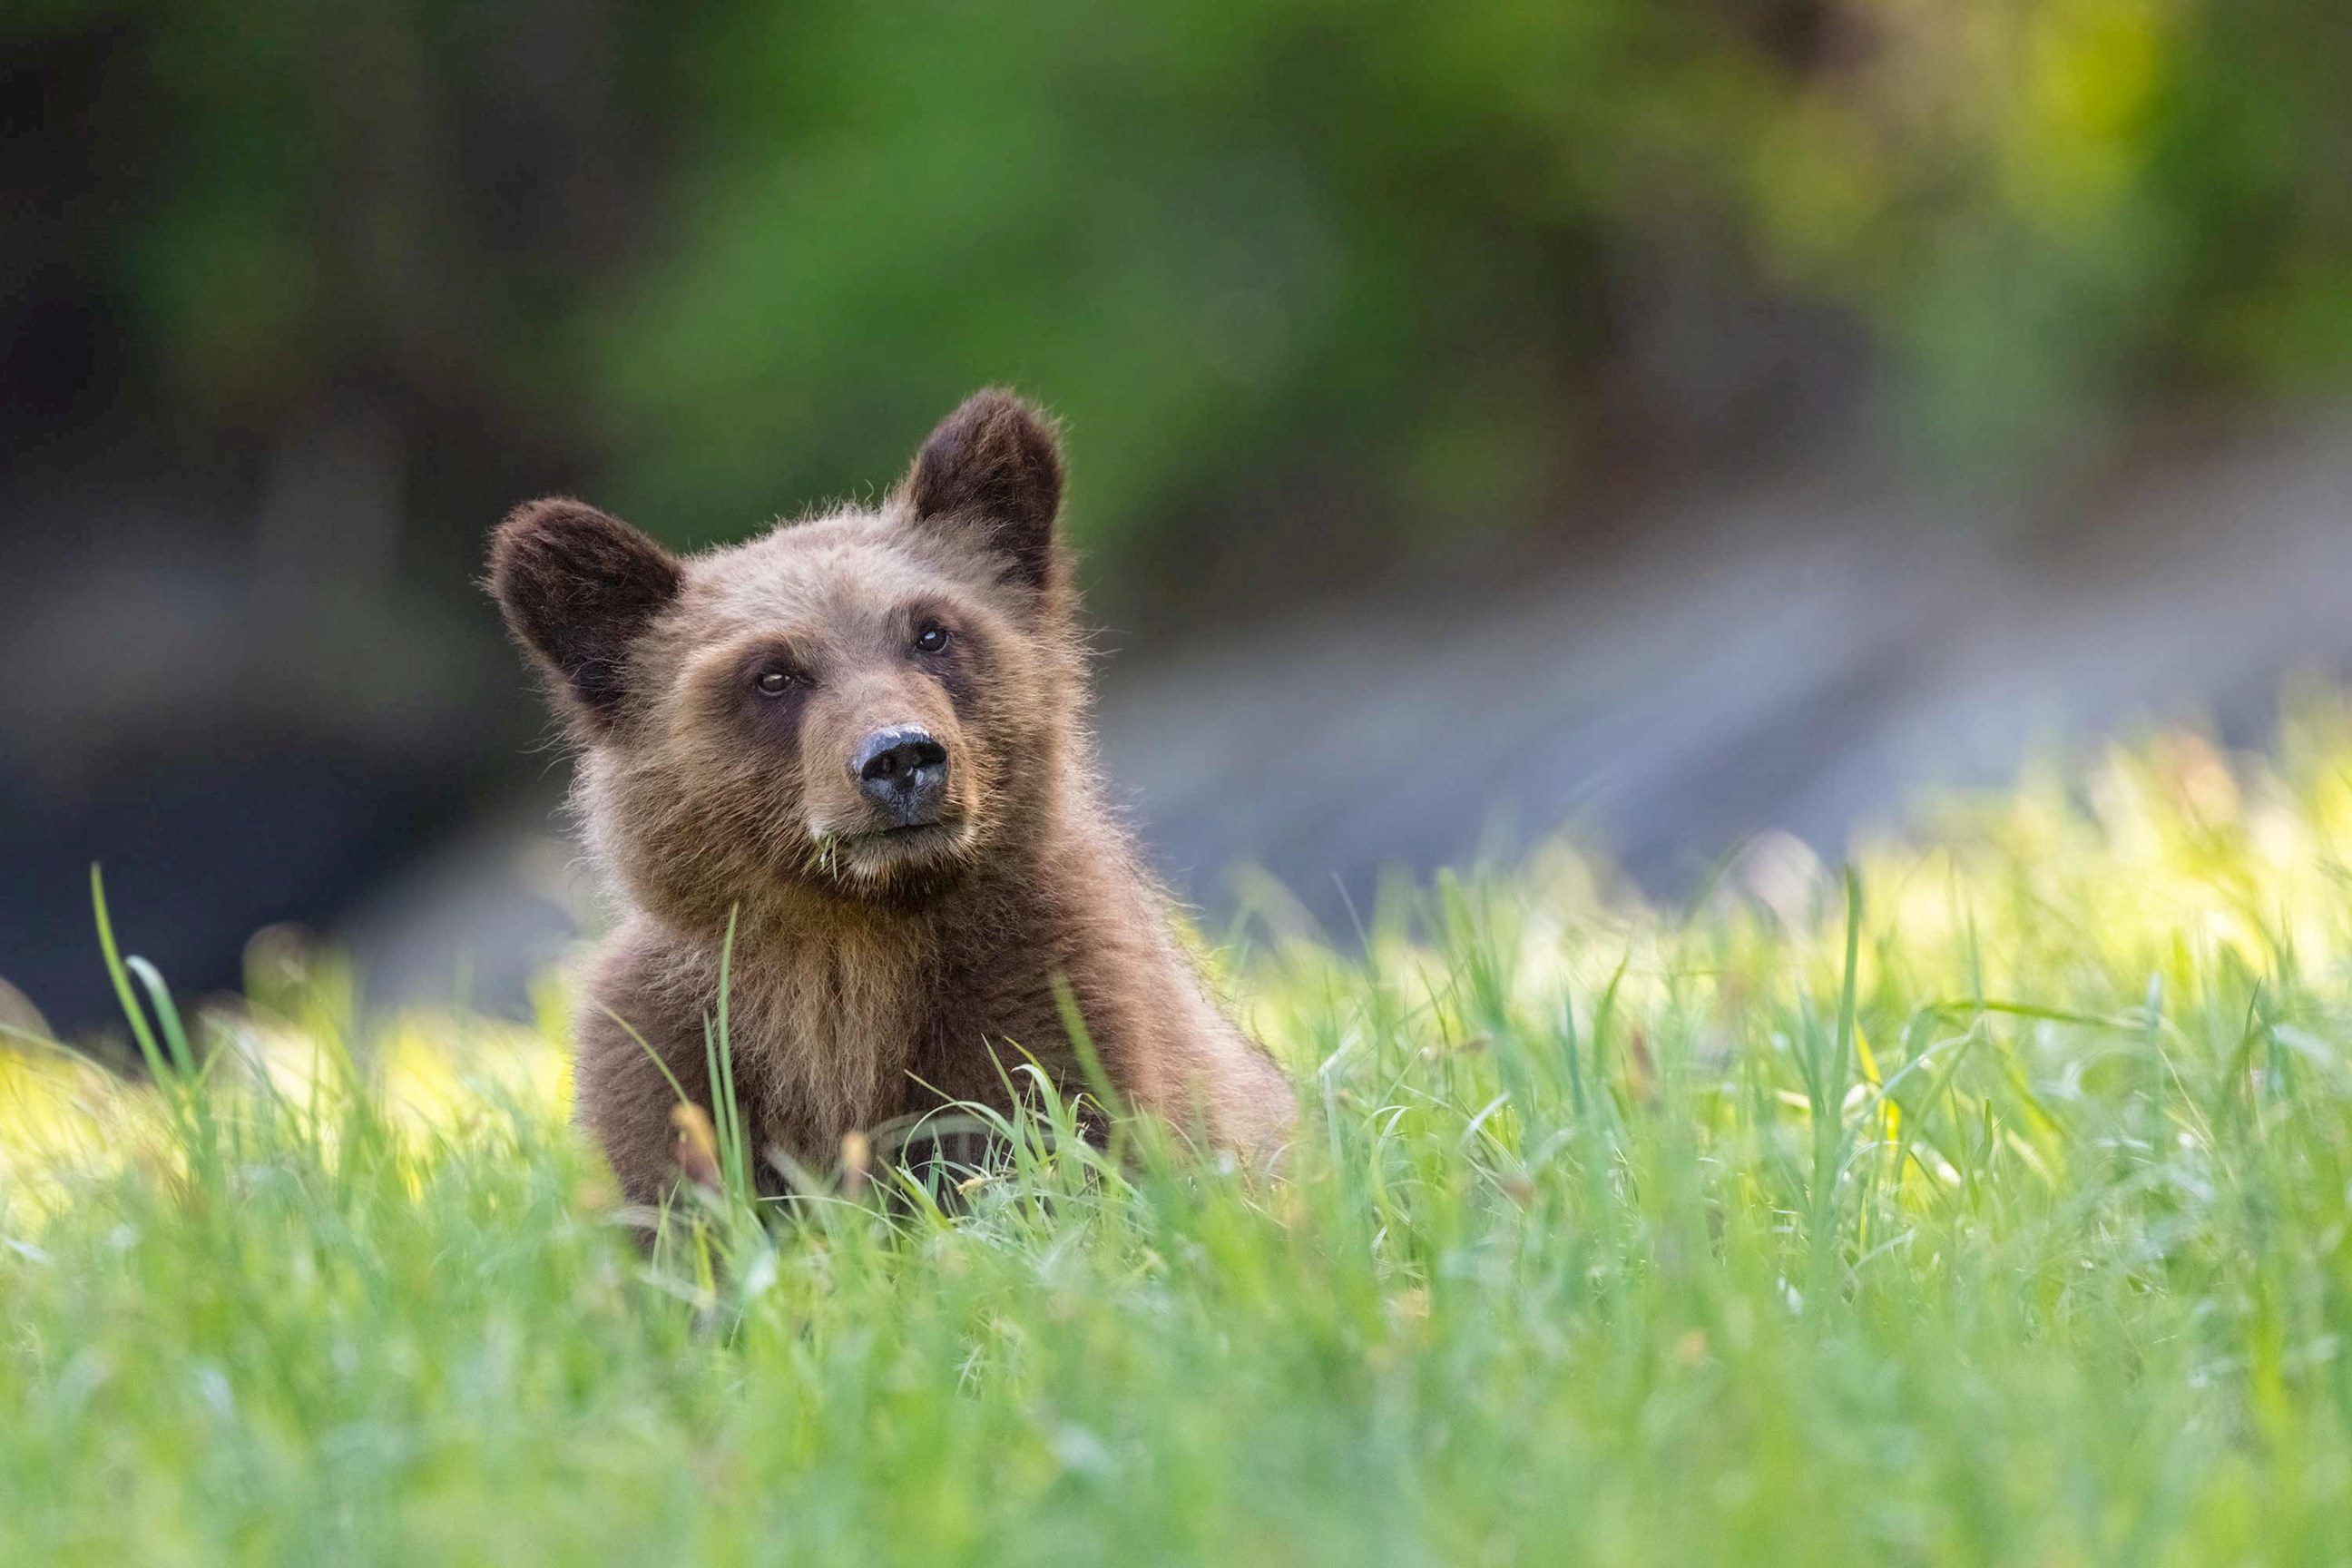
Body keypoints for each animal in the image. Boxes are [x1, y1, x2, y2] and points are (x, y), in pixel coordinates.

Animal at [488, 388, 1293, 1211]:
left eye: (931, 633)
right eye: (772, 674)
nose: (901, 757)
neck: (857, 940)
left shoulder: (1055, 1002)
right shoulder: (677, 1065)